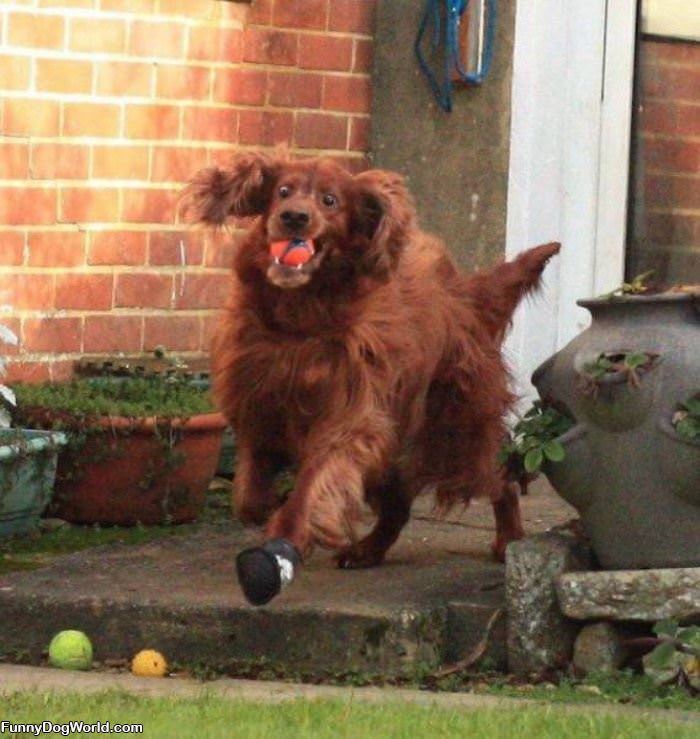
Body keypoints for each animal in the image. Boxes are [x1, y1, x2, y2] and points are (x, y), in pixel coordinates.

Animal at [183, 152, 560, 608]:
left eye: (330, 200)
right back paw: (367, 550)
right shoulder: (259, 402)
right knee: (398, 507)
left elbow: (314, 484)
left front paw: (290, 533)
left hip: (455, 425)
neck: (300, 321)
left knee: (500, 478)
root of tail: (460, 296)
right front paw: (268, 504)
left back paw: (508, 538)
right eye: (283, 191)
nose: (294, 218)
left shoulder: (349, 417)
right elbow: (249, 494)